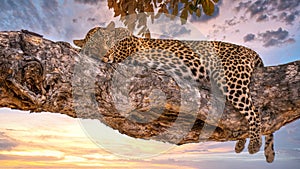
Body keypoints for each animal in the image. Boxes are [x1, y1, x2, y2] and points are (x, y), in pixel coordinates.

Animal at [73, 21, 274, 162]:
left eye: (107, 42)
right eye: (95, 46)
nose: (106, 55)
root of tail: (249, 50)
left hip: (230, 79)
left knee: (254, 111)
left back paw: (254, 144)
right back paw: (243, 144)